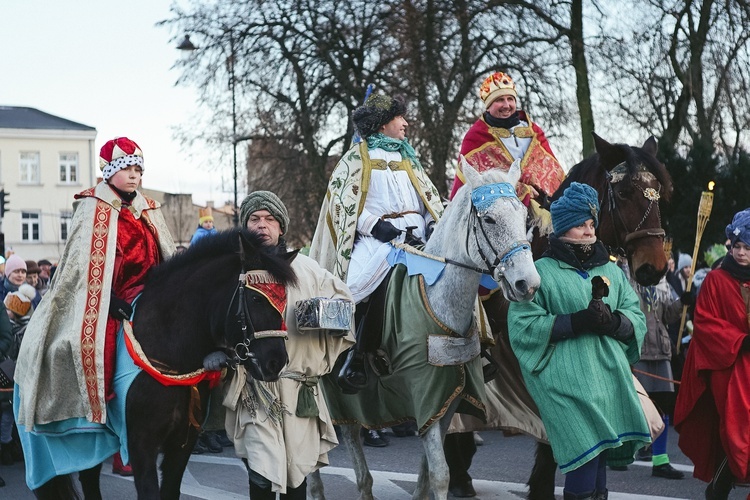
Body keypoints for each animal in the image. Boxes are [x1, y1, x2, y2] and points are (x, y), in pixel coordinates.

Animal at [36, 229, 300, 500]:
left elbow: (171, 488)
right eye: (256, 298)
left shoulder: (182, 442)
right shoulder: (140, 443)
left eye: (284, 301)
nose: (276, 362)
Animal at [310, 162, 540, 498]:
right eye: (489, 219)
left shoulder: (446, 400)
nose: (528, 284)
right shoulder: (425, 394)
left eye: (524, 218)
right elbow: (441, 474)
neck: (437, 298)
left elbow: (426, 474)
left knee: (353, 441)